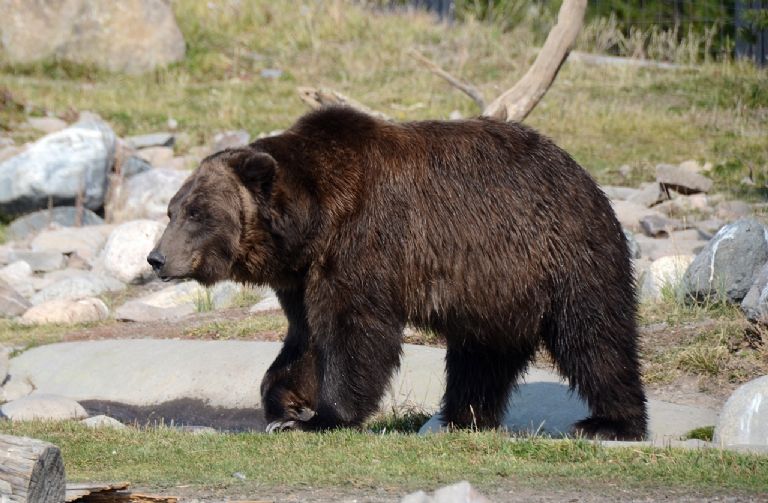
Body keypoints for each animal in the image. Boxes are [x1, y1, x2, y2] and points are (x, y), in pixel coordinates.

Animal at [148, 106, 648, 440]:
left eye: (196, 213)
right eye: (172, 209)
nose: (156, 258)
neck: (313, 220)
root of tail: (582, 174)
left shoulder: (364, 241)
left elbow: (355, 333)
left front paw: (324, 416)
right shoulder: (304, 274)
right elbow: (305, 338)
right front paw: (286, 404)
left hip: (563, 253)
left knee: (595, 337)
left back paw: (609, 423)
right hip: (495, 290)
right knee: (482, 355)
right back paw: (462, 417)